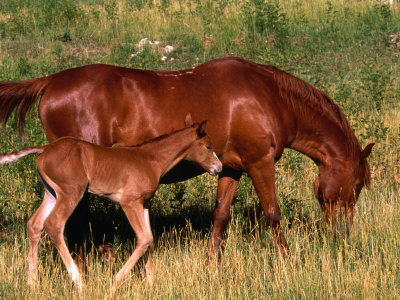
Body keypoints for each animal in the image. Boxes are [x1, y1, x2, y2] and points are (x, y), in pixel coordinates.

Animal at [0, 56, 376, 258]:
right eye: (357, 186)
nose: (343, 234)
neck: (270, 96)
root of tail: (51, 81)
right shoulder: (260, 162)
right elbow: (273, 213)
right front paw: (285, 259)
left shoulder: (232, 168)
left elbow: (221, 215)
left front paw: (212, 262)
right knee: (73, 221)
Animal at [0, 119, 222, 290]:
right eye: (208, 147)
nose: (219, 167)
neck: (150, 159)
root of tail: (45, 148)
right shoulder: (129, 202)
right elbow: (143, 239)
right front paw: (115, 283)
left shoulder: (144, 203)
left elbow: (150, 240)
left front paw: (151, 284)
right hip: (71, 193)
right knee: (54, 224)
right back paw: (79, 282)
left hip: (52, 193)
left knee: (34, 225)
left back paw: (32, 282)